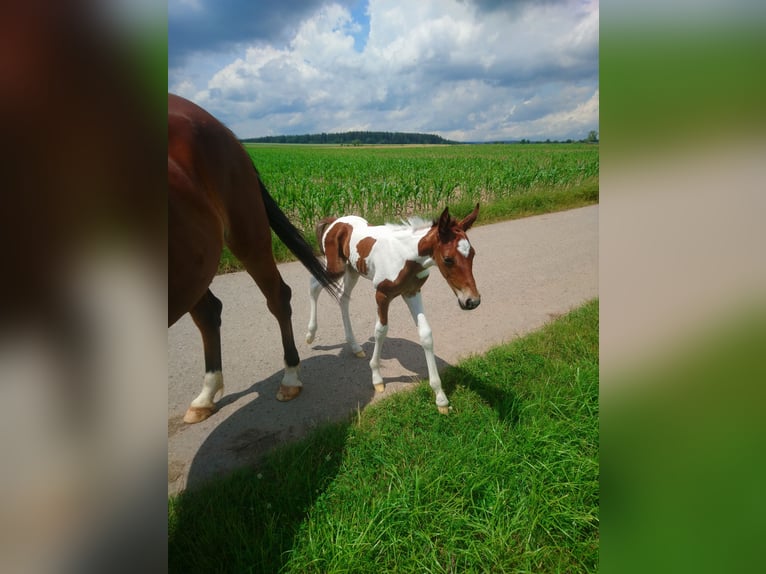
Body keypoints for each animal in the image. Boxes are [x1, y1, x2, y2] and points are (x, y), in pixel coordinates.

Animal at [306, 207, 480, 414]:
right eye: (447, 259)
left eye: (473, 254)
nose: (472, 301)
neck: (405, 257)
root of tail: (335, 221)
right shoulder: (382, 295)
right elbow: (381, 331)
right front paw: (377, 378)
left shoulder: (412, 292)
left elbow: (426, 334)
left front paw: (441, 398)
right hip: (336, 267)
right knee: (314, 285)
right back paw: (310, 334)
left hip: (352, 270)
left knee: (342, 298)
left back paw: (355, 346)